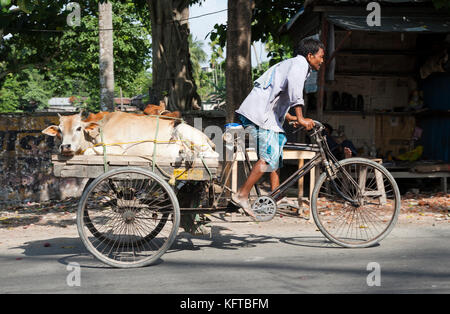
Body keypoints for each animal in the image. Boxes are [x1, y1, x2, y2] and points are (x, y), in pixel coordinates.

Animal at [42, 111, 220, 159]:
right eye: (59, 130)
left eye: (78, 128)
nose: (65, 146)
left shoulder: (118, 149)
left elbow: (89, 151)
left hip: (183, 130)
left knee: (213, 154)